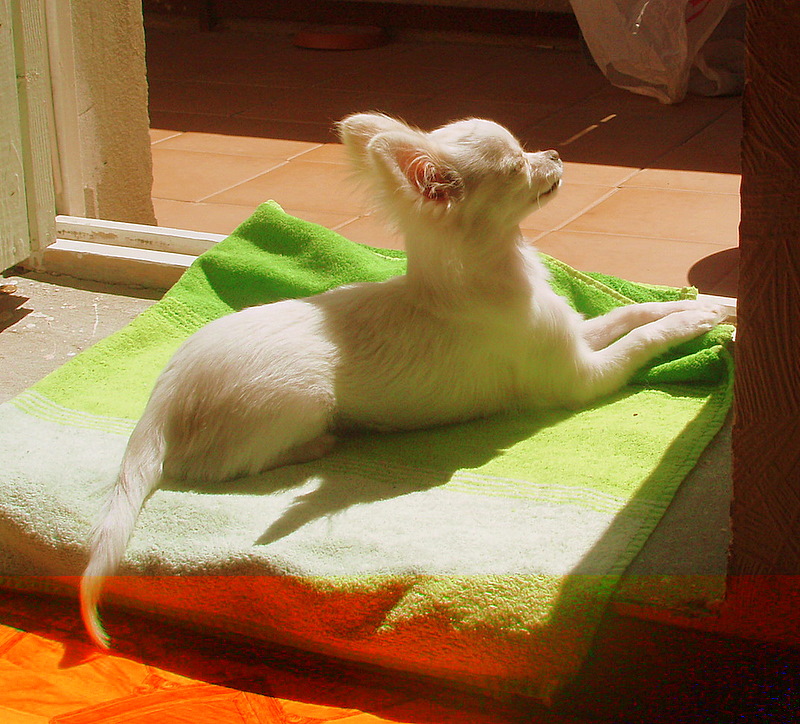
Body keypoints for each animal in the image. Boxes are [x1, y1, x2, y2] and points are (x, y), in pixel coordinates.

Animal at [80, 112, 727, 648]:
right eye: (517, 165)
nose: (555, 154)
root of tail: (161, 404)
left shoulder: (573, 336)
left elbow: (631, 314)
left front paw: (709, 307)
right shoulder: (580, 379)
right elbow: (639, 341)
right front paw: (695, 324)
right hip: (300, 399)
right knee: (220, 467)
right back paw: (318, 444)